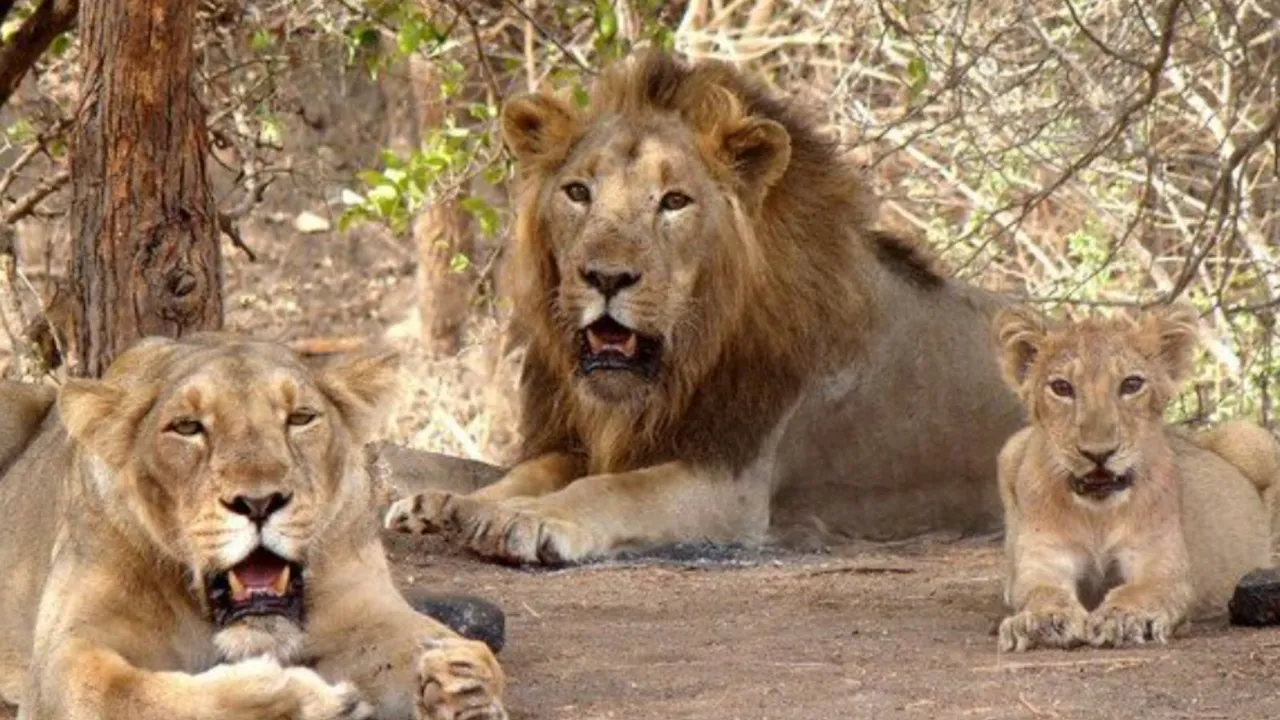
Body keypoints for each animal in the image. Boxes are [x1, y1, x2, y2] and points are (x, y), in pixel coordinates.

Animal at [0, 335, 507, 720]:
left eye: (300, 418)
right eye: (187, 427)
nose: (260, 502)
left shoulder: (364, 609)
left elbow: (431, 644)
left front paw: (463, 681)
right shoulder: (63, 658)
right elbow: (123, 694)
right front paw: (306, 701)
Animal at [383, 50, 1025, 566]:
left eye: (674, 201)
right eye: (578, 192)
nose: (606, 277)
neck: (680, 366)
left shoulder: (731, 483)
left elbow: (614, 490)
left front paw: (527, 518)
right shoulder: (585, 439)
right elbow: (529, 470)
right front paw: (450, 504)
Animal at [993, 304, 1279, 652]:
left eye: (1131, 384)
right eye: (1061, 388)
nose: (1098, 453)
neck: (1098, 516)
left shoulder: (1161, 566)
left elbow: (1140, 591)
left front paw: (1126, 618)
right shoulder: (1044, 560)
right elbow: (1041, 591)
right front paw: (1042, 620)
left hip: (1252, 437)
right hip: (1011, 448)